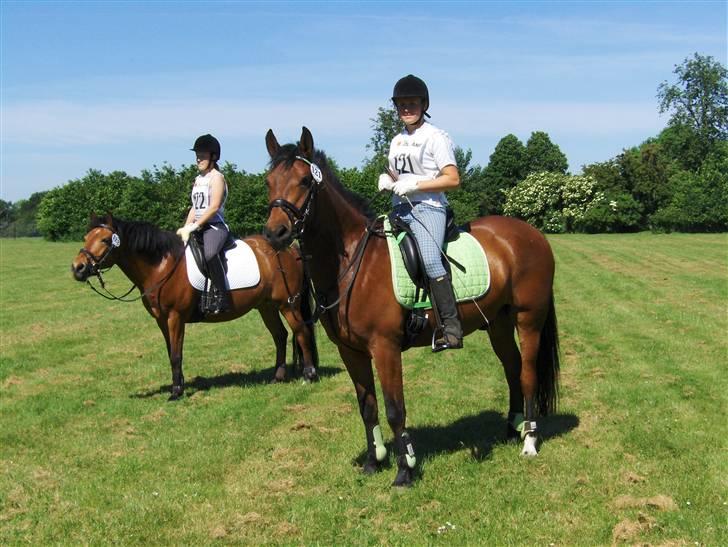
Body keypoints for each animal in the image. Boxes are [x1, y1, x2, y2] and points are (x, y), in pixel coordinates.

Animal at [73, 212, 318, 400]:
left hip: (288, 305)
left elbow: (176, 354)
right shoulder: (161, 320)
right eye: (86, 237)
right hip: (266, 306)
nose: (78, 268)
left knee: (301, 332)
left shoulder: (175, 317)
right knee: (280, 335)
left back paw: (309, 375)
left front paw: (176, 392)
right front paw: (179, 384)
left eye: (105, 240)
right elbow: (171, 351)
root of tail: (290, 249)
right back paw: (278, 376)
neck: (162, 266)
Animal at [264, 130, 564, 488]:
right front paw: (373, 461)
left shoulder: (385, 348)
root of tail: (534, 235)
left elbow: (395, 409)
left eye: (306, 180)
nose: (275, 233)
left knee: (528, 373)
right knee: (512, 367)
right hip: (499, 323)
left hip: (528, 320)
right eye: (268, 182)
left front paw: (405, 469)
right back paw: (513, 427)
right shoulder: (351, 351)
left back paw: (529, 441)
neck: (352, 262)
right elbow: (367, 407)